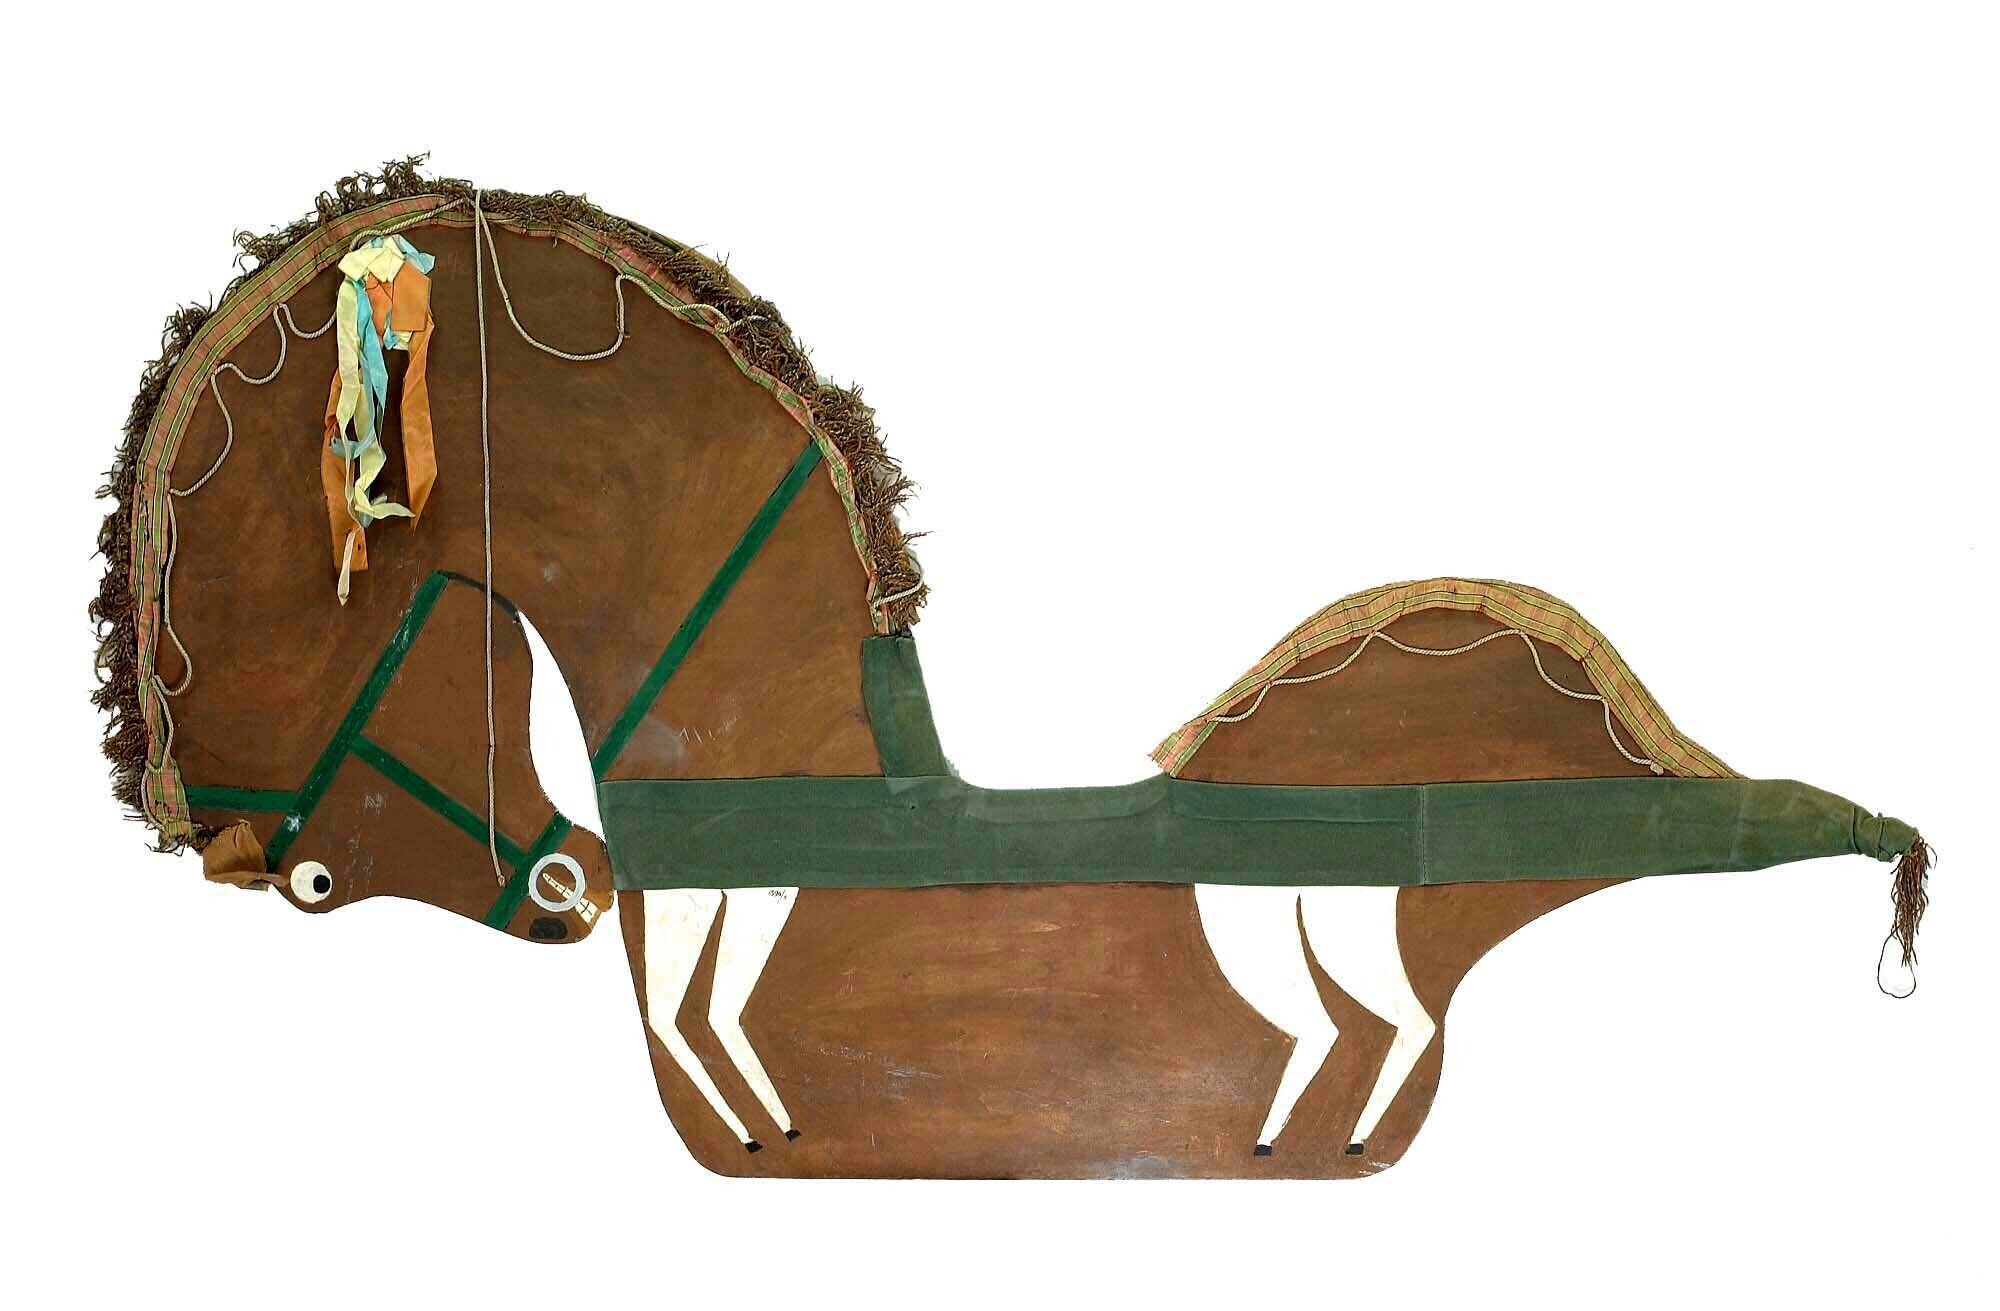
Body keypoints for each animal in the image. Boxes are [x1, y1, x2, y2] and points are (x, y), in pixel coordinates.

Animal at [95, 161, 1930, 1178]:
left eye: (303, 654)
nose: (564, 887)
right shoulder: (719, 900)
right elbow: (703, 1018)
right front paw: (771, 1123)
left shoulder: (715, 896)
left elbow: (697, 1016)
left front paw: (763, 1122)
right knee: (1373, 1031)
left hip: (1324, 925)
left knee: (1390, 1029)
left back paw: (1303, 1138)